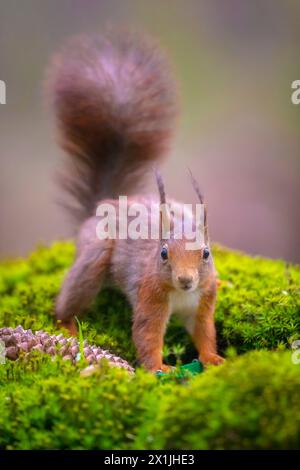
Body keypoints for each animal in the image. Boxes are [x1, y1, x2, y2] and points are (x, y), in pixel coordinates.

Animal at [48, 31, 224, 372]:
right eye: (164, 253)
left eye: (207, 253)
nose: (185, 280)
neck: (182, 294)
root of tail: (102, 206)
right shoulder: (149, 294)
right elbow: (147, 333)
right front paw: (158, 368)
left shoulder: (204, 298)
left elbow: (204, 331)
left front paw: (213, 358)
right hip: (94, 258)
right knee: (70, 298)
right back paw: (68, 326)